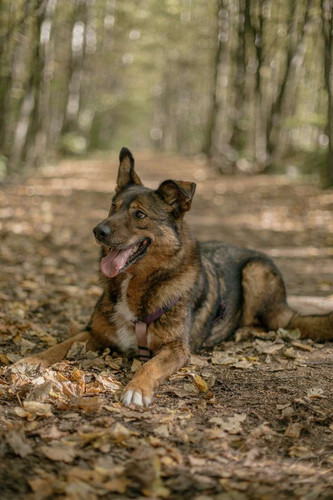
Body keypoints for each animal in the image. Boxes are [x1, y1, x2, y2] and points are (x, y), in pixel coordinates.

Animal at [14, 146, 332, 404]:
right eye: (113, 207)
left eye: (139, 215)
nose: (98, 231)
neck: (137, 283)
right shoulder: (92, 332)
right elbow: (60, 346)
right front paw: (30, 360)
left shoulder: (177, 349)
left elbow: (149, 365)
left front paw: (136, 389)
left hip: (256, 272)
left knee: (267, 323)